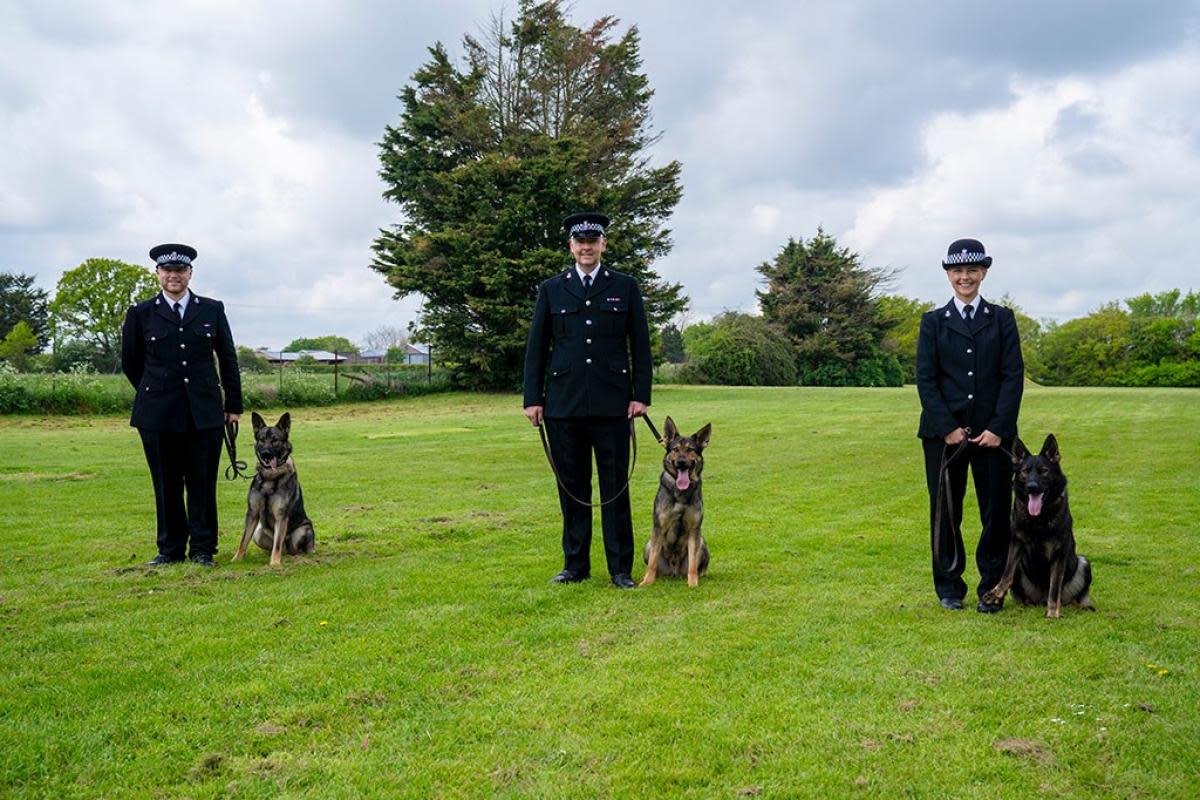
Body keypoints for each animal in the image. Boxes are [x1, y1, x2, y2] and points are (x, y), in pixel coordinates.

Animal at [231, 417, 316, 566]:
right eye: (261, 439)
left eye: (275, 440)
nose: (265, 454)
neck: (270, 477)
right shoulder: (252, 513)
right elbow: (243, 540)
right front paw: (236, 559)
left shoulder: (281, 516)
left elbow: (277, 544)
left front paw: (275, 564)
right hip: (258, 533)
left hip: (303, 530)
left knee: (292, 548)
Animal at [638, 419, 710, 587]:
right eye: (675, 449)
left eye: (690, 450)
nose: (681, 462)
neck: (680, 494)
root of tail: (674, 571)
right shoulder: (658, 528)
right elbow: (652, 562)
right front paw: (647, 582)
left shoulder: (694, 530)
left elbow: (692, 564)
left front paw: (692, 583)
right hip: (649, 544)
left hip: (702, 543)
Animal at [979, 434, 1094, 618]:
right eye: (1025, 471)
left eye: (1043, 471)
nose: (1031, 487)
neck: (1037, 519)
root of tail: (1040, 599)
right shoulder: (1016, 544)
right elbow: (1006, 574)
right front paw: (995, 593)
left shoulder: (1059, 554)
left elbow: (1055, 587)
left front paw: (1053, 613)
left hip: (1083, 563)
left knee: (1070, 599)